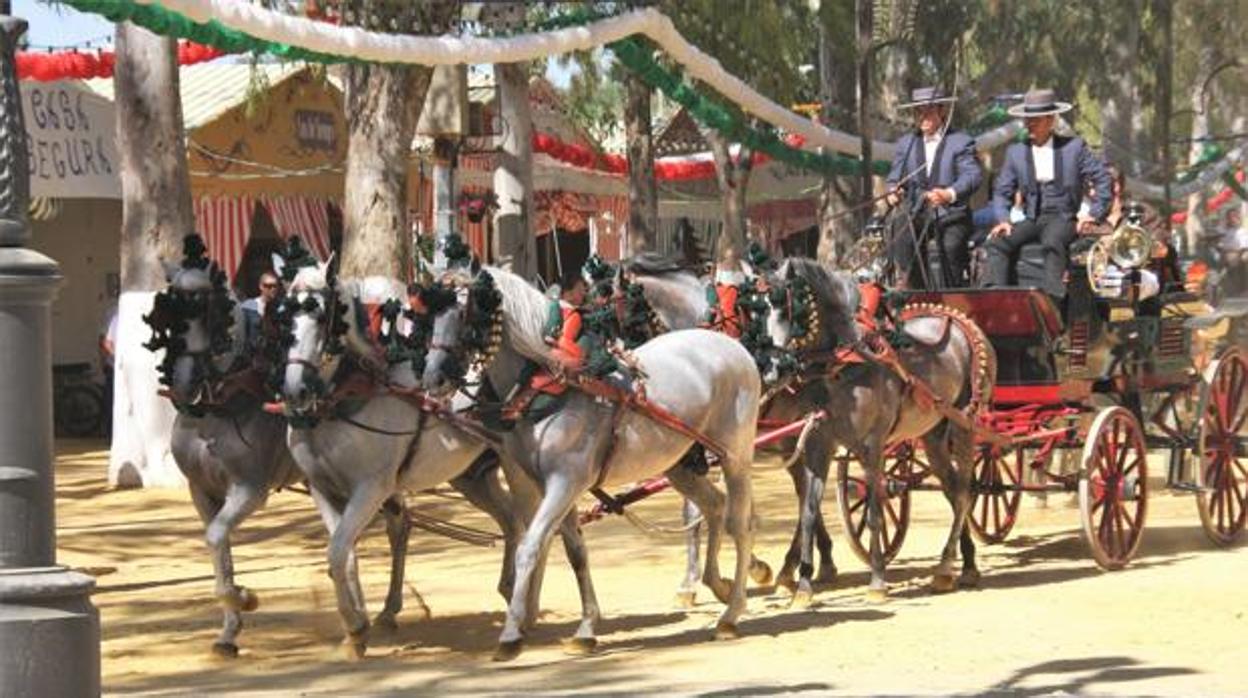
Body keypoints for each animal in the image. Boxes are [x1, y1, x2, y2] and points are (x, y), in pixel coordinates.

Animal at [424, 264, 758, 664]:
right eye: (430, 314)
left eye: (465, 313)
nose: (433, 379)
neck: (552, 381)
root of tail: (735, 348)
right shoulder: (553, 486)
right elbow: (576, 552)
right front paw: (586, 629)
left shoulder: (565, 482)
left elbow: (529, 547)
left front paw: (510, 635)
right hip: (679, 465)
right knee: (714, 506)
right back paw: (714, 584)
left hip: (735, 456)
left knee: (740, 524)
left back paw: (731, 612)